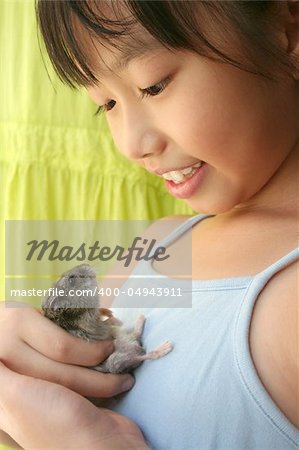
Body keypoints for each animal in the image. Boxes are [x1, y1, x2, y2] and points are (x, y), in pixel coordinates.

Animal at [42, 264, 173, 372]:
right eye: (71, 279)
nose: (87, 264)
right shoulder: (91, 322)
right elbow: (102, 321)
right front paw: (114, 318)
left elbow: (102, 313)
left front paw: (111, 314)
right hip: (116, 361)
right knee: (142, 356)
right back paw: (166, 346)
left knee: (136, 336)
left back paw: (138, 319)